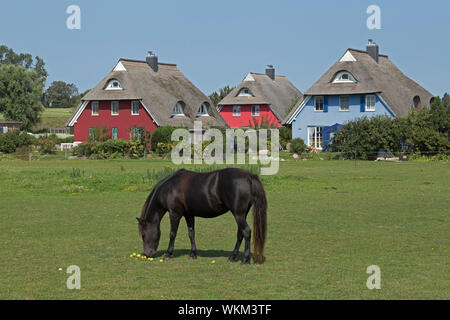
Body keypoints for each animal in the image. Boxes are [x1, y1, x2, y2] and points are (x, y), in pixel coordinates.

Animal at [137, 168, 268, 262]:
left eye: (143, 235)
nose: (148, 254)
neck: (170, 187)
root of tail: (249, 176)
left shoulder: (175, 214)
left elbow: (172, 234)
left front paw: (168, 254)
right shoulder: (189, 215)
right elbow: (191, 233)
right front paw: (193, 254)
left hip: (238, 214)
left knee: (246, 232)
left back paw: (245, 259)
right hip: (242, 214)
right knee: (240, 234)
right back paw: (232, 257)